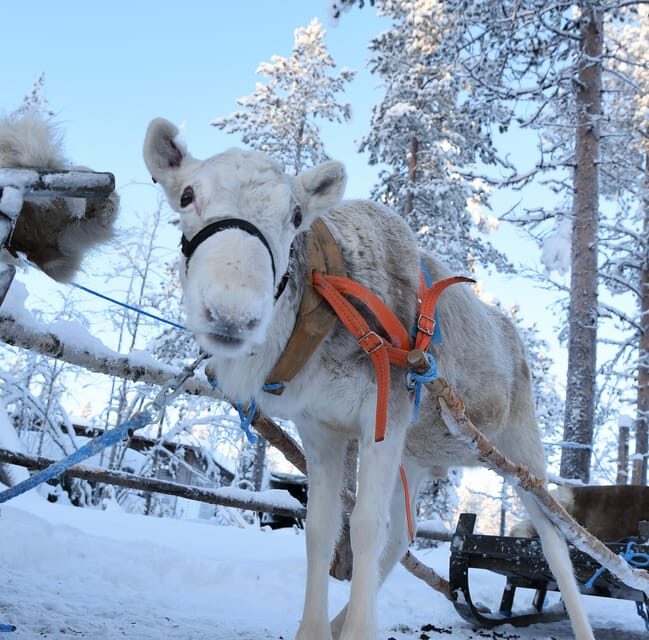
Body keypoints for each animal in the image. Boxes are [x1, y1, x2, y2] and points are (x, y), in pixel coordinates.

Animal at [144, 117, 594, 640]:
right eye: (186, 195)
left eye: (296, 214)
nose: (232, 314)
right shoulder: (322, 429)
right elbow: (322, 530)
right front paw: (315, 630)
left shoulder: (383, 416)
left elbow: (362, 528)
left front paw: (358, 629)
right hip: (415, 456)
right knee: (403, 536)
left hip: (520, 451)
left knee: (557, 548)